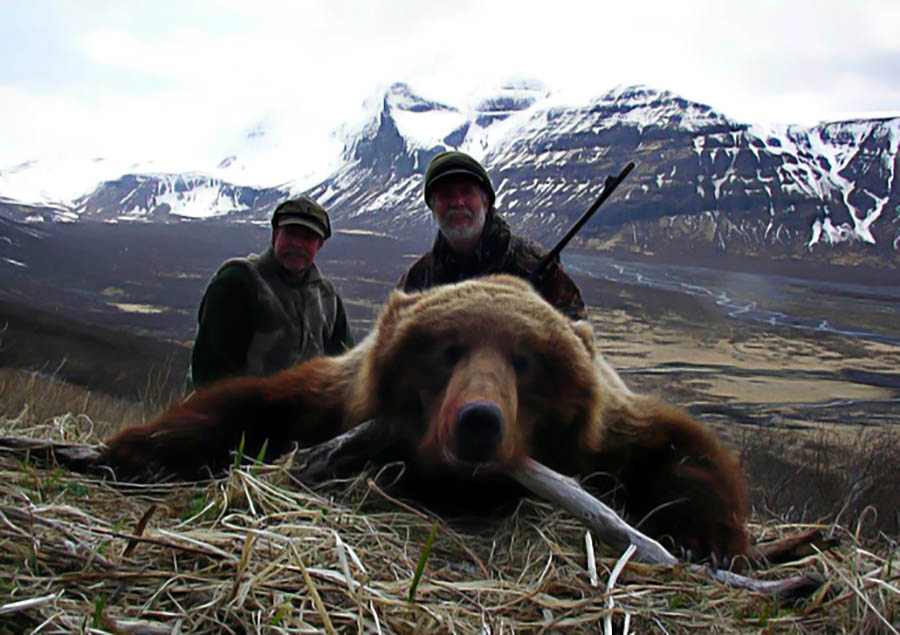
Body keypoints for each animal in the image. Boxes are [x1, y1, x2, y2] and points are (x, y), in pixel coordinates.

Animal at [98, 276, 748, 564]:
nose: (479, 421)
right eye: (448, 349)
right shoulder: (337, 397)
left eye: (526, 361)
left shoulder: (607, 431)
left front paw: (708, 541)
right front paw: (133, 452)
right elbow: (251, 404)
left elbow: (677, 447)